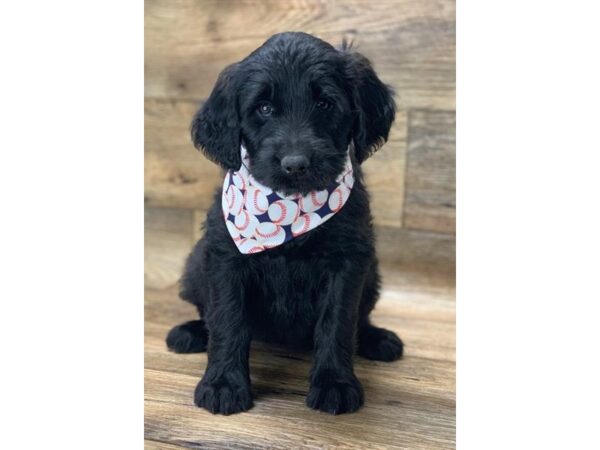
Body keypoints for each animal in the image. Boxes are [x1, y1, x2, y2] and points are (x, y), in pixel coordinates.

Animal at [166, 32, 404, 414]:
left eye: (325, 104)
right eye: (264, 108)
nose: (295, 164)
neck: (290, 209)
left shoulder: (349, 261)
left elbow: (338, 321)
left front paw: (334, 383)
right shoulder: (225, 258)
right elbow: (228, 319)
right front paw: (223, 383)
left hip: (373, 276)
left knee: (361, 317)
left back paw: (376, 338)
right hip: (194, 267)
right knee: (206, 312)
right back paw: (190, 333)